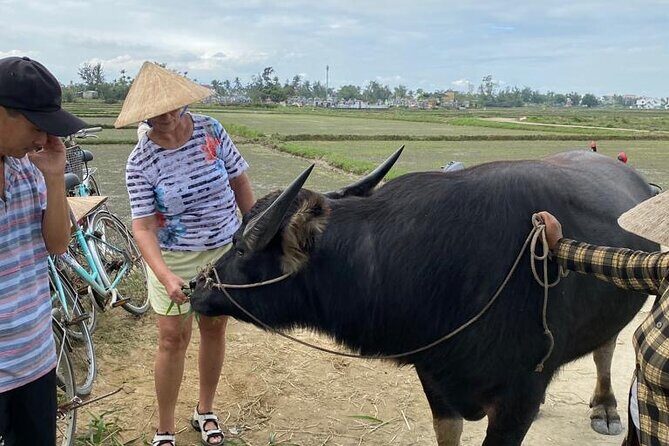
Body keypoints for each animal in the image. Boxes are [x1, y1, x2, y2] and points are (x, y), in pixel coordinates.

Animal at [190, 150, 655, 445]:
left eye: (241, 246)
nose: (197, 287)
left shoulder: (519, 396)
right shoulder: (435, 379)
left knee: (606, 348)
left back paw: (606, 408)